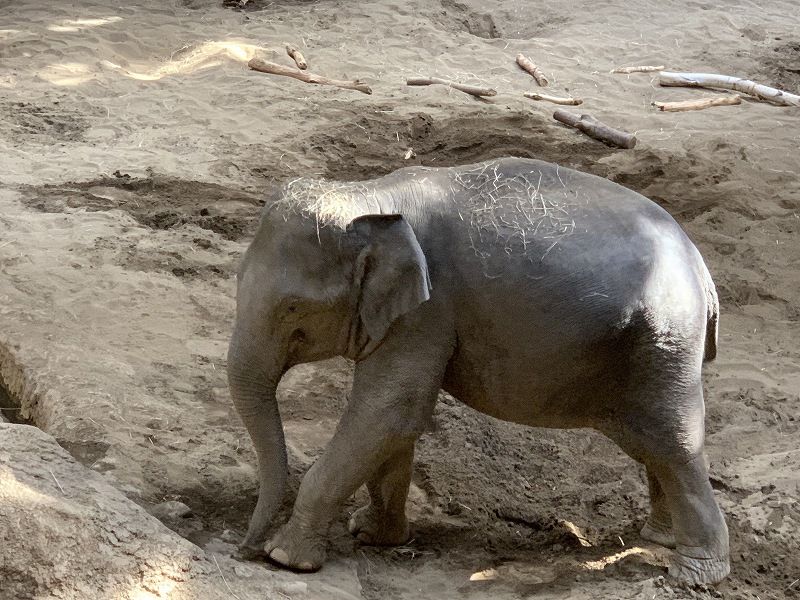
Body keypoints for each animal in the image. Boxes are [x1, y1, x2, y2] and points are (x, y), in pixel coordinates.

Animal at [227, 157, 728, 585]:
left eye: (293, 307)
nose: (243, 550)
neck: (369, 196)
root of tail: (702, 270)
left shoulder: (427, 311)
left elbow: (389, 411)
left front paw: (286, 558)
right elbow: (392, 421)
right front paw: (371, 534)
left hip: (665, 338)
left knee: (672, 438)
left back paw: (694, 572)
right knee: (646, 440)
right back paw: (659, 538)